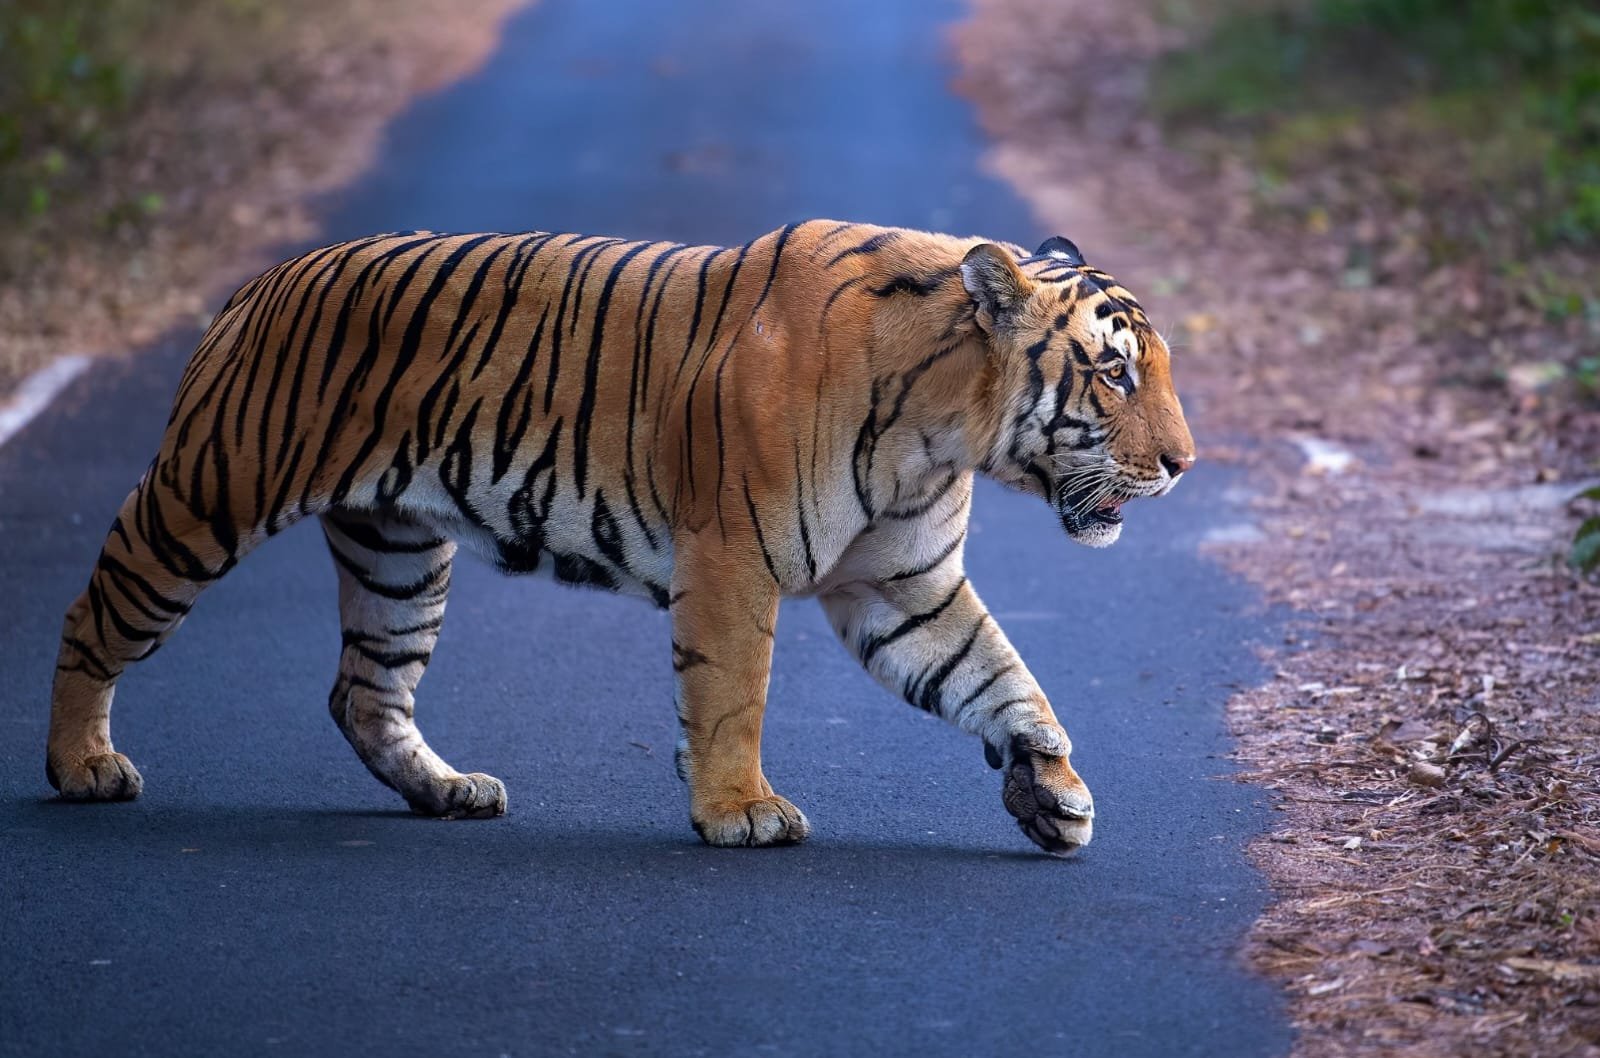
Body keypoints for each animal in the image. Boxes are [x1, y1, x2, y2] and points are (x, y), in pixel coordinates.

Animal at [45, 219, 1195, 855]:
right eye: (1114, 373)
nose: (1185, 463)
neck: (943, 427)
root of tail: (259, 281)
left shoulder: (904, 585)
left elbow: (998, 673)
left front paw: (1051, 787)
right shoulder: (734, 557)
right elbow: (732, 692)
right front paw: (739, 811)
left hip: (399, 551)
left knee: (363, 690)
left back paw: (450, 792)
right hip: (207, 497)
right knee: (93, 613)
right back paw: (82, 766)